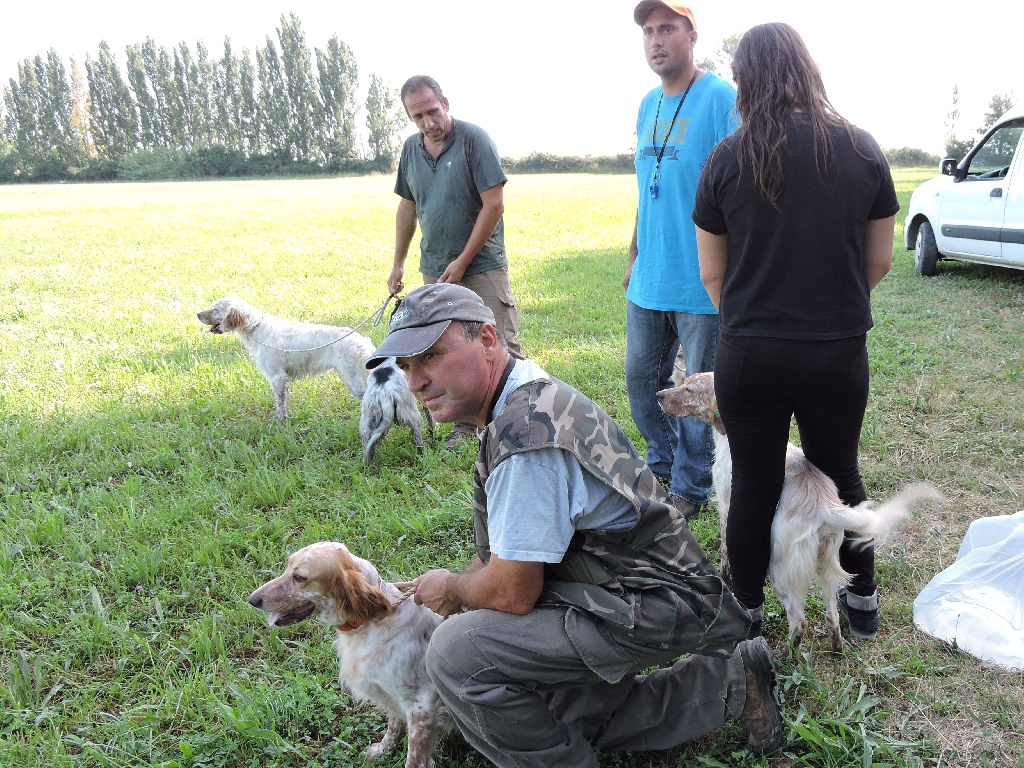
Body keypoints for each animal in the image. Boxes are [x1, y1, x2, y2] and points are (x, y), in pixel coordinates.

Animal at [248, 544, 448, 765]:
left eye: (300, 577)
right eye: (287, 567)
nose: (252, 600)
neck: (371, 623)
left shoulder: (422, 704)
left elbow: (414, 756)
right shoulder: (391, 694)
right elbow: (393, 724)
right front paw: (383, 750)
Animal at [659, 376, 937, 651]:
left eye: (689, 389)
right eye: (684, 382)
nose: (659, 395)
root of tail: (825, 505)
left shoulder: (727, 506)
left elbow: (727, 551)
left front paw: (725, 577)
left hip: (780, 569)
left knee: (799, 621)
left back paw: (780, 654)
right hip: (827, 562)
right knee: (832, 616)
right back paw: (836, 647)